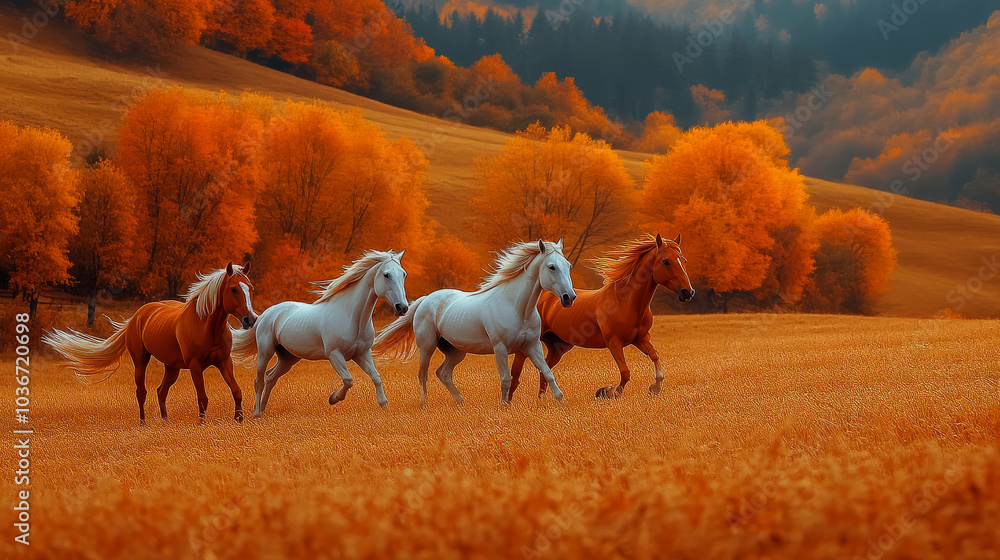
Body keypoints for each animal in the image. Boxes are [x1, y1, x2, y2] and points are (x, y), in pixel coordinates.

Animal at [42, 262, 259, 424]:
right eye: (233, 289)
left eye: (251, 289)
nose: (250, 319)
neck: (205, 325)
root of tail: (136, 317)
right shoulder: (196, 366)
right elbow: (203, 398)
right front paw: (201, 424)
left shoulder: (224, 361)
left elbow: (236, 391)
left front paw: (239, 420)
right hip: (140, 361)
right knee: (142, 392)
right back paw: (143, 423)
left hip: (172, 368)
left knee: (161, 391)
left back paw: (165, 421)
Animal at [230, 250, 410, 417]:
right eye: (387, 275)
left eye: (404, 274)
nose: (402, 307)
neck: (352, 316)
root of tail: (266, 314)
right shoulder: (335, 354)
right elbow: (348, 380)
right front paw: (333, 399)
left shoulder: (362, 354)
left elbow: (376, 377)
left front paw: (384, 405)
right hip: (265, 351)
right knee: (259, 380)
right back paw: (256, 413)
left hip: (288, 358)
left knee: (271, 377)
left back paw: (262, 408)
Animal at [373, 239, 577, 406]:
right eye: (551, 266)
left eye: (568, 265)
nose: (569, 297)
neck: (517, 307)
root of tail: (425, 299)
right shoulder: (500, 348)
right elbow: (505, 379)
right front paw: (504, 406)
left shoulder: (532, 345)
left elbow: (547, 372)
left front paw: (561, 400)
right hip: (427, 346)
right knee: (423, 374)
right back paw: (424, 404)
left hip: (456, 351)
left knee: (443, 373)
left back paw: (460, 401)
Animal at [508, 234, 694, 401]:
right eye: (666, 261)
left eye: (684, 260)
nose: (688, 292)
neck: (625, 301)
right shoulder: (614, 343)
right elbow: (625, 373)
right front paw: (609, 392)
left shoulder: (640, 338)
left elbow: (655, 357)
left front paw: (655, 388)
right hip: (530, 344)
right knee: (516, 372)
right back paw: (509, 401)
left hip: (558, 347)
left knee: (543, 370)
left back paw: (542, 401)